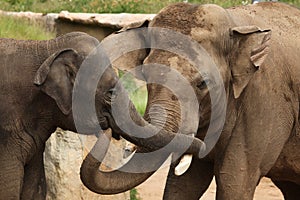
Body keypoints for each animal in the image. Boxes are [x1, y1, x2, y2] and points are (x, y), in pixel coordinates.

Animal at [86, 1, 300, 200]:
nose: (108, 128)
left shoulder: (263, 103)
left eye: (202, 83)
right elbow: (183, 185)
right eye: (146, 74)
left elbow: (233, 181)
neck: (235, 23)